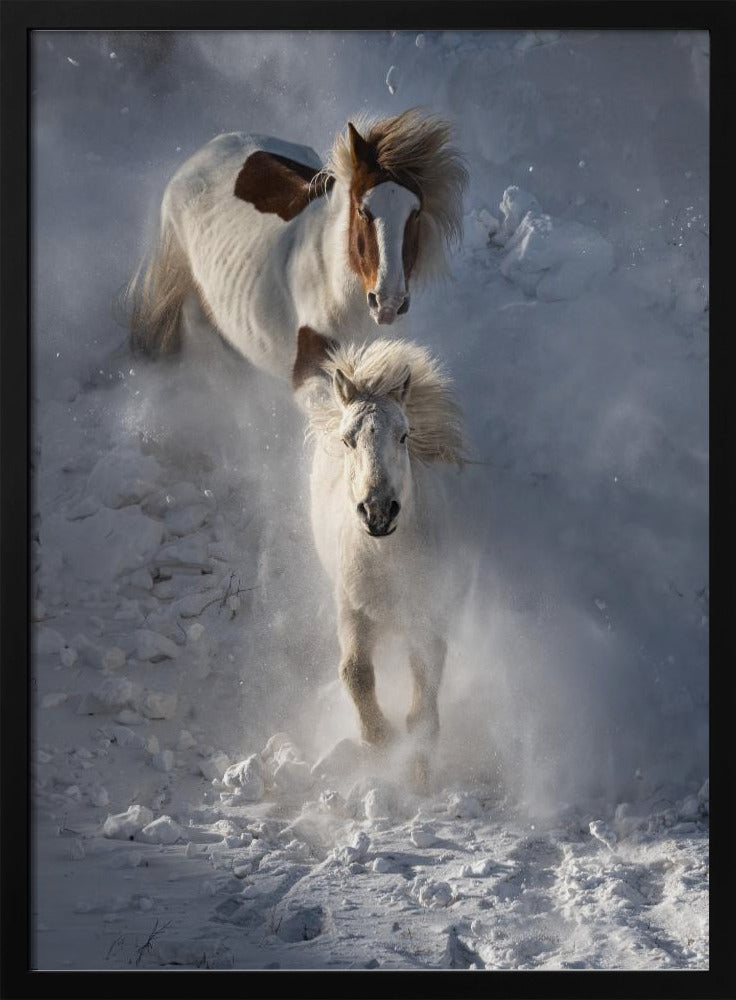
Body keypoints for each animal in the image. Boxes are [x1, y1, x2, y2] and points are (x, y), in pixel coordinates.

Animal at [126, 109, 467, 381]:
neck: (336, 292)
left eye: (417, 212)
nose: (387, 303)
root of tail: (208, 148)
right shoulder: (314, 376)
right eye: (362, 210)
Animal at [295, 327, 466, 790]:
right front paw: (380, 740)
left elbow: (423, 695)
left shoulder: (427, 619)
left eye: (403, 435)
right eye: (347, 438)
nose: (378, 512)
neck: (389, 562)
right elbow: (355, 672)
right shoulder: (353, 611)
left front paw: (420, 772)